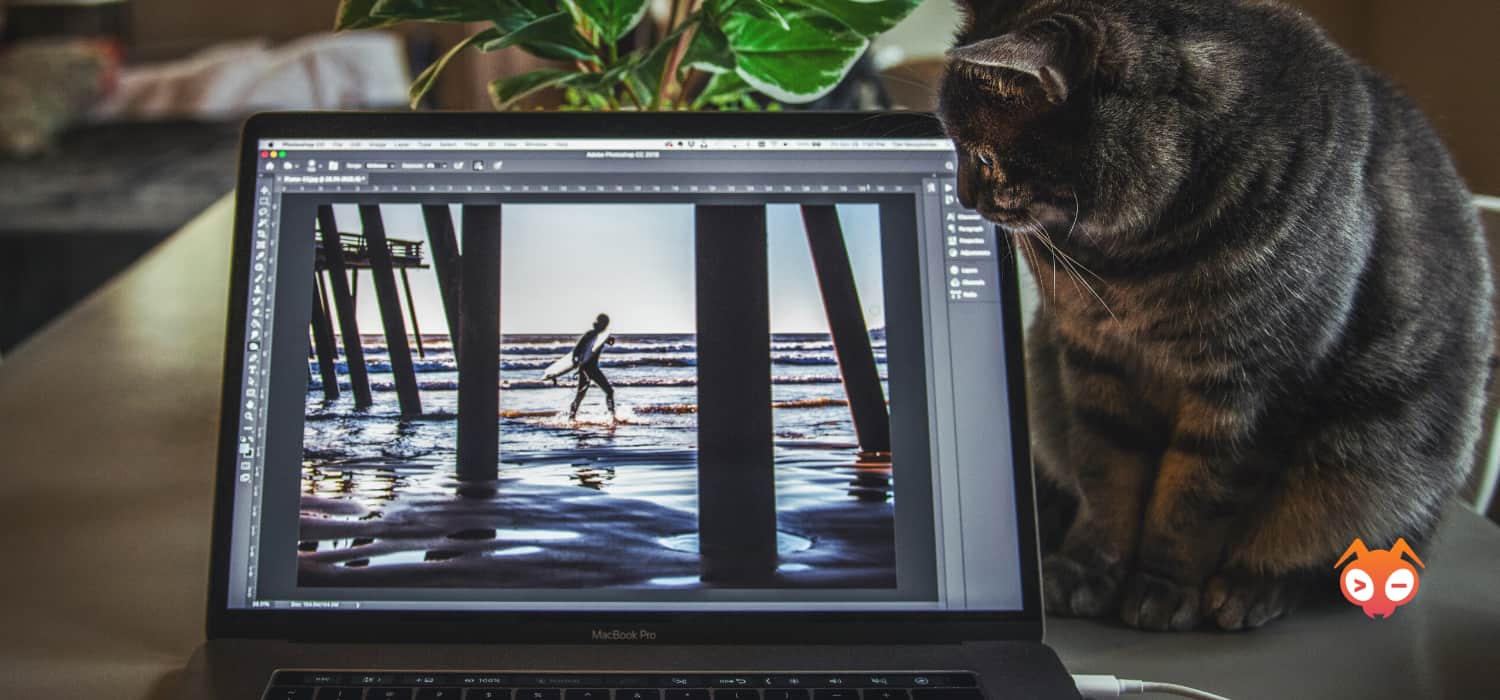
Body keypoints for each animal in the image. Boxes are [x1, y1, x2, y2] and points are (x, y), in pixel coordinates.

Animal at [936, 0, 1488, 632]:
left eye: (980, 154)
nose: (962, 197)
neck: (1128, 262)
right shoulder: (1091, 362)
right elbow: (1106, 481)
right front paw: (1084, 570)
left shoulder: (1250, 387)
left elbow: (1192, 502)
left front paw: (1162, 588)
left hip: (1372, 458)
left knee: (1321, 551)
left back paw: (1249, 590)